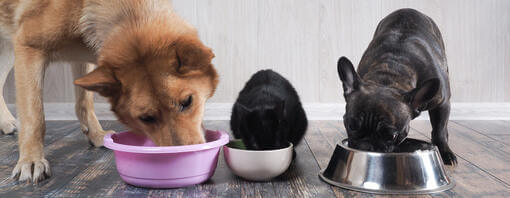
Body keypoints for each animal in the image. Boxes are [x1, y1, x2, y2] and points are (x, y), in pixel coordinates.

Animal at [0, 0, 217, 183]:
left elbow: (84, 101)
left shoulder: (85, 59)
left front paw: (96, 135)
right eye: (146, 118)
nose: (188, 159)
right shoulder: (29, 48)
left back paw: (6, 123)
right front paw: (31, 160)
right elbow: (34, 116)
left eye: (187, 102)